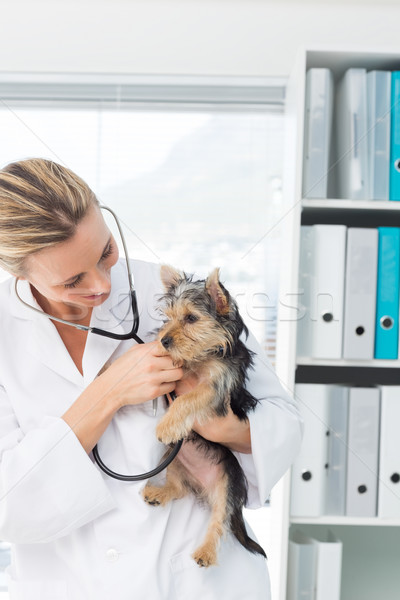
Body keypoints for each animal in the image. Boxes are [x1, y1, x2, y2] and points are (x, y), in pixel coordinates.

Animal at [142, 266, 268, 568]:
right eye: (169, 317)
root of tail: (203, 487)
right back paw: (159, 493)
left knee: (220, 520)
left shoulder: (216, 386)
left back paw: (206, 552)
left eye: (191, 318)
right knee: (179, 489)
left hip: (227, 484)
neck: (205, 354)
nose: (164, 340)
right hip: (174, 462)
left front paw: (168, 425)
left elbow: (188, 398)